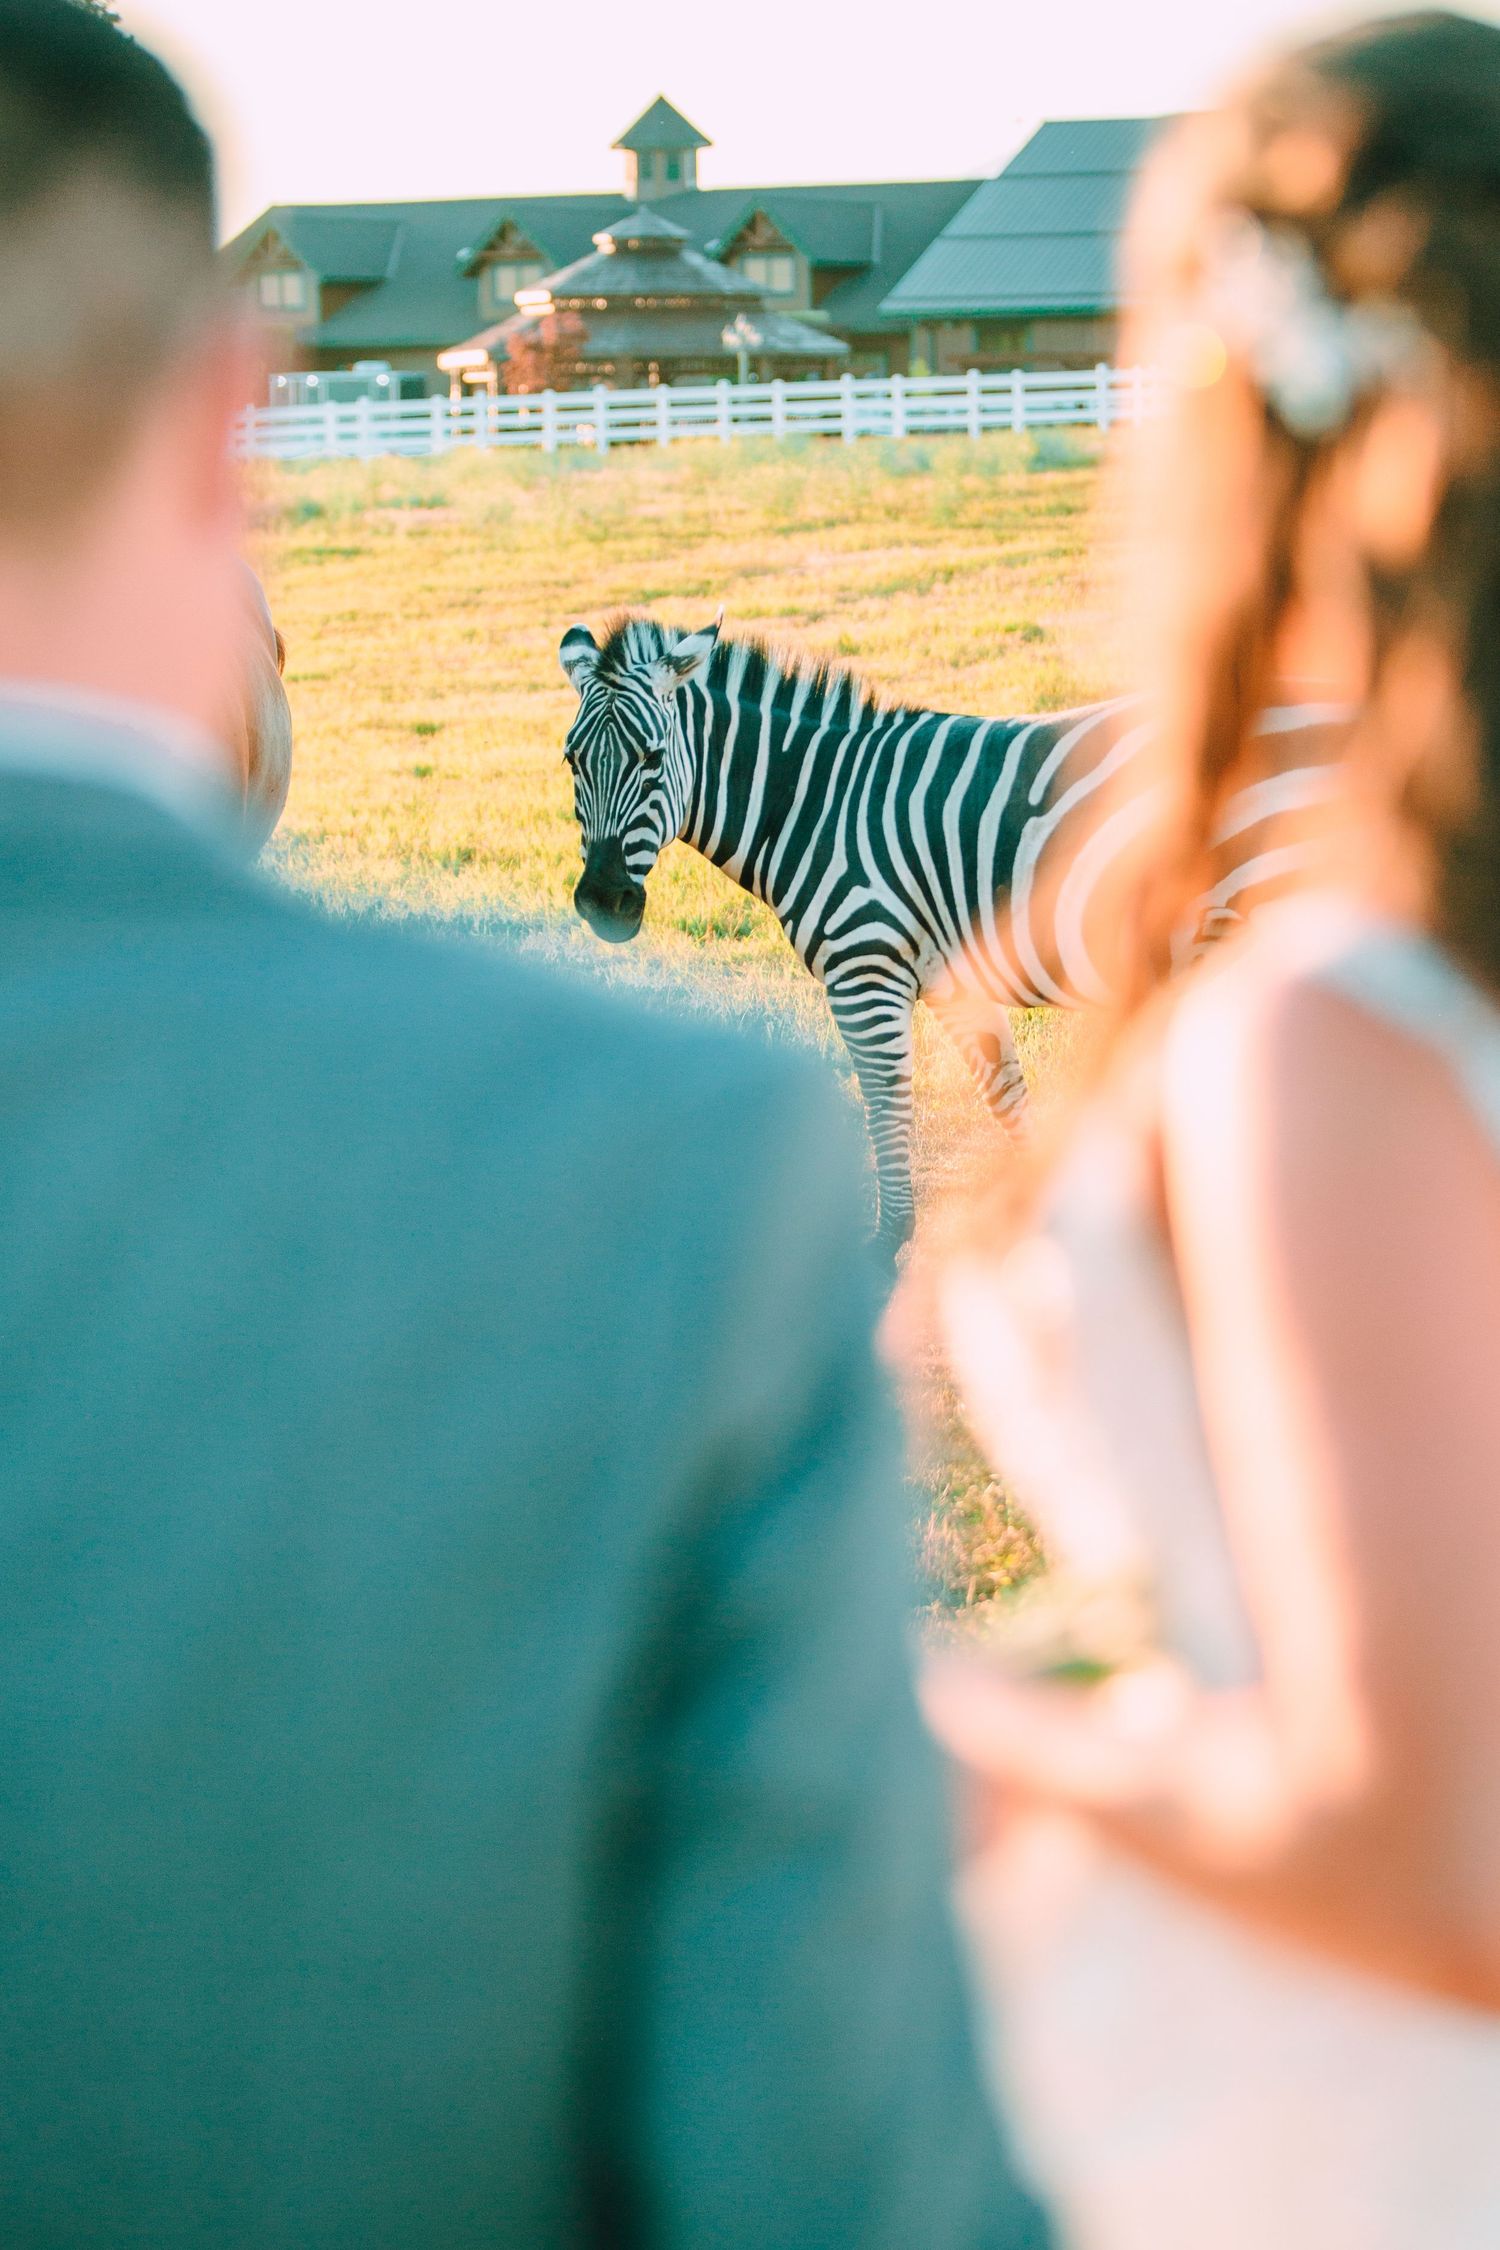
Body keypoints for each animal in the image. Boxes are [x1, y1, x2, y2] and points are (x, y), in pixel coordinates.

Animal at [560, 612, 1345, 1250]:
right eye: (572, 762)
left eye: (651, 759)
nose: (603, 901)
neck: (815, 803)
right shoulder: (950, 976)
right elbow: (1004, 1090)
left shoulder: (865, 968)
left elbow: (885, 1099)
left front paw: (888, 1244)